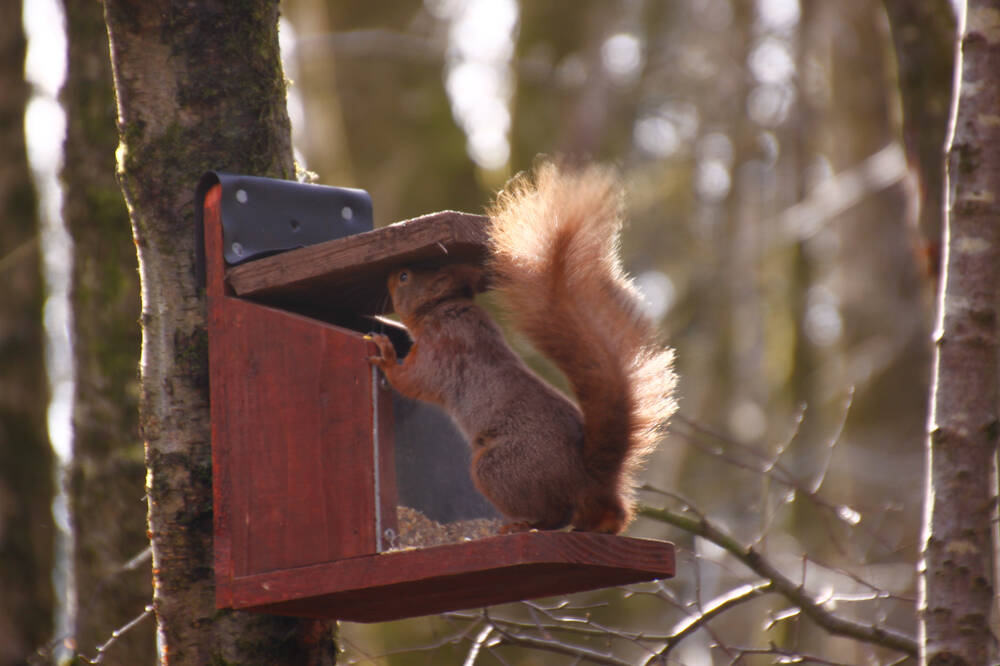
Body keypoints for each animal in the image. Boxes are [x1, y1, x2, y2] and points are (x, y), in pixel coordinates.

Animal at [370, 162, 680, 536]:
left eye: (404, 277)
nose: (388, 274)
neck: (445, 309)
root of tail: (585, 477)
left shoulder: (443, 351)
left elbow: (412, 381)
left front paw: (386, 355)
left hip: (497, 468)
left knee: (554, 514)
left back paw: (519, 526)